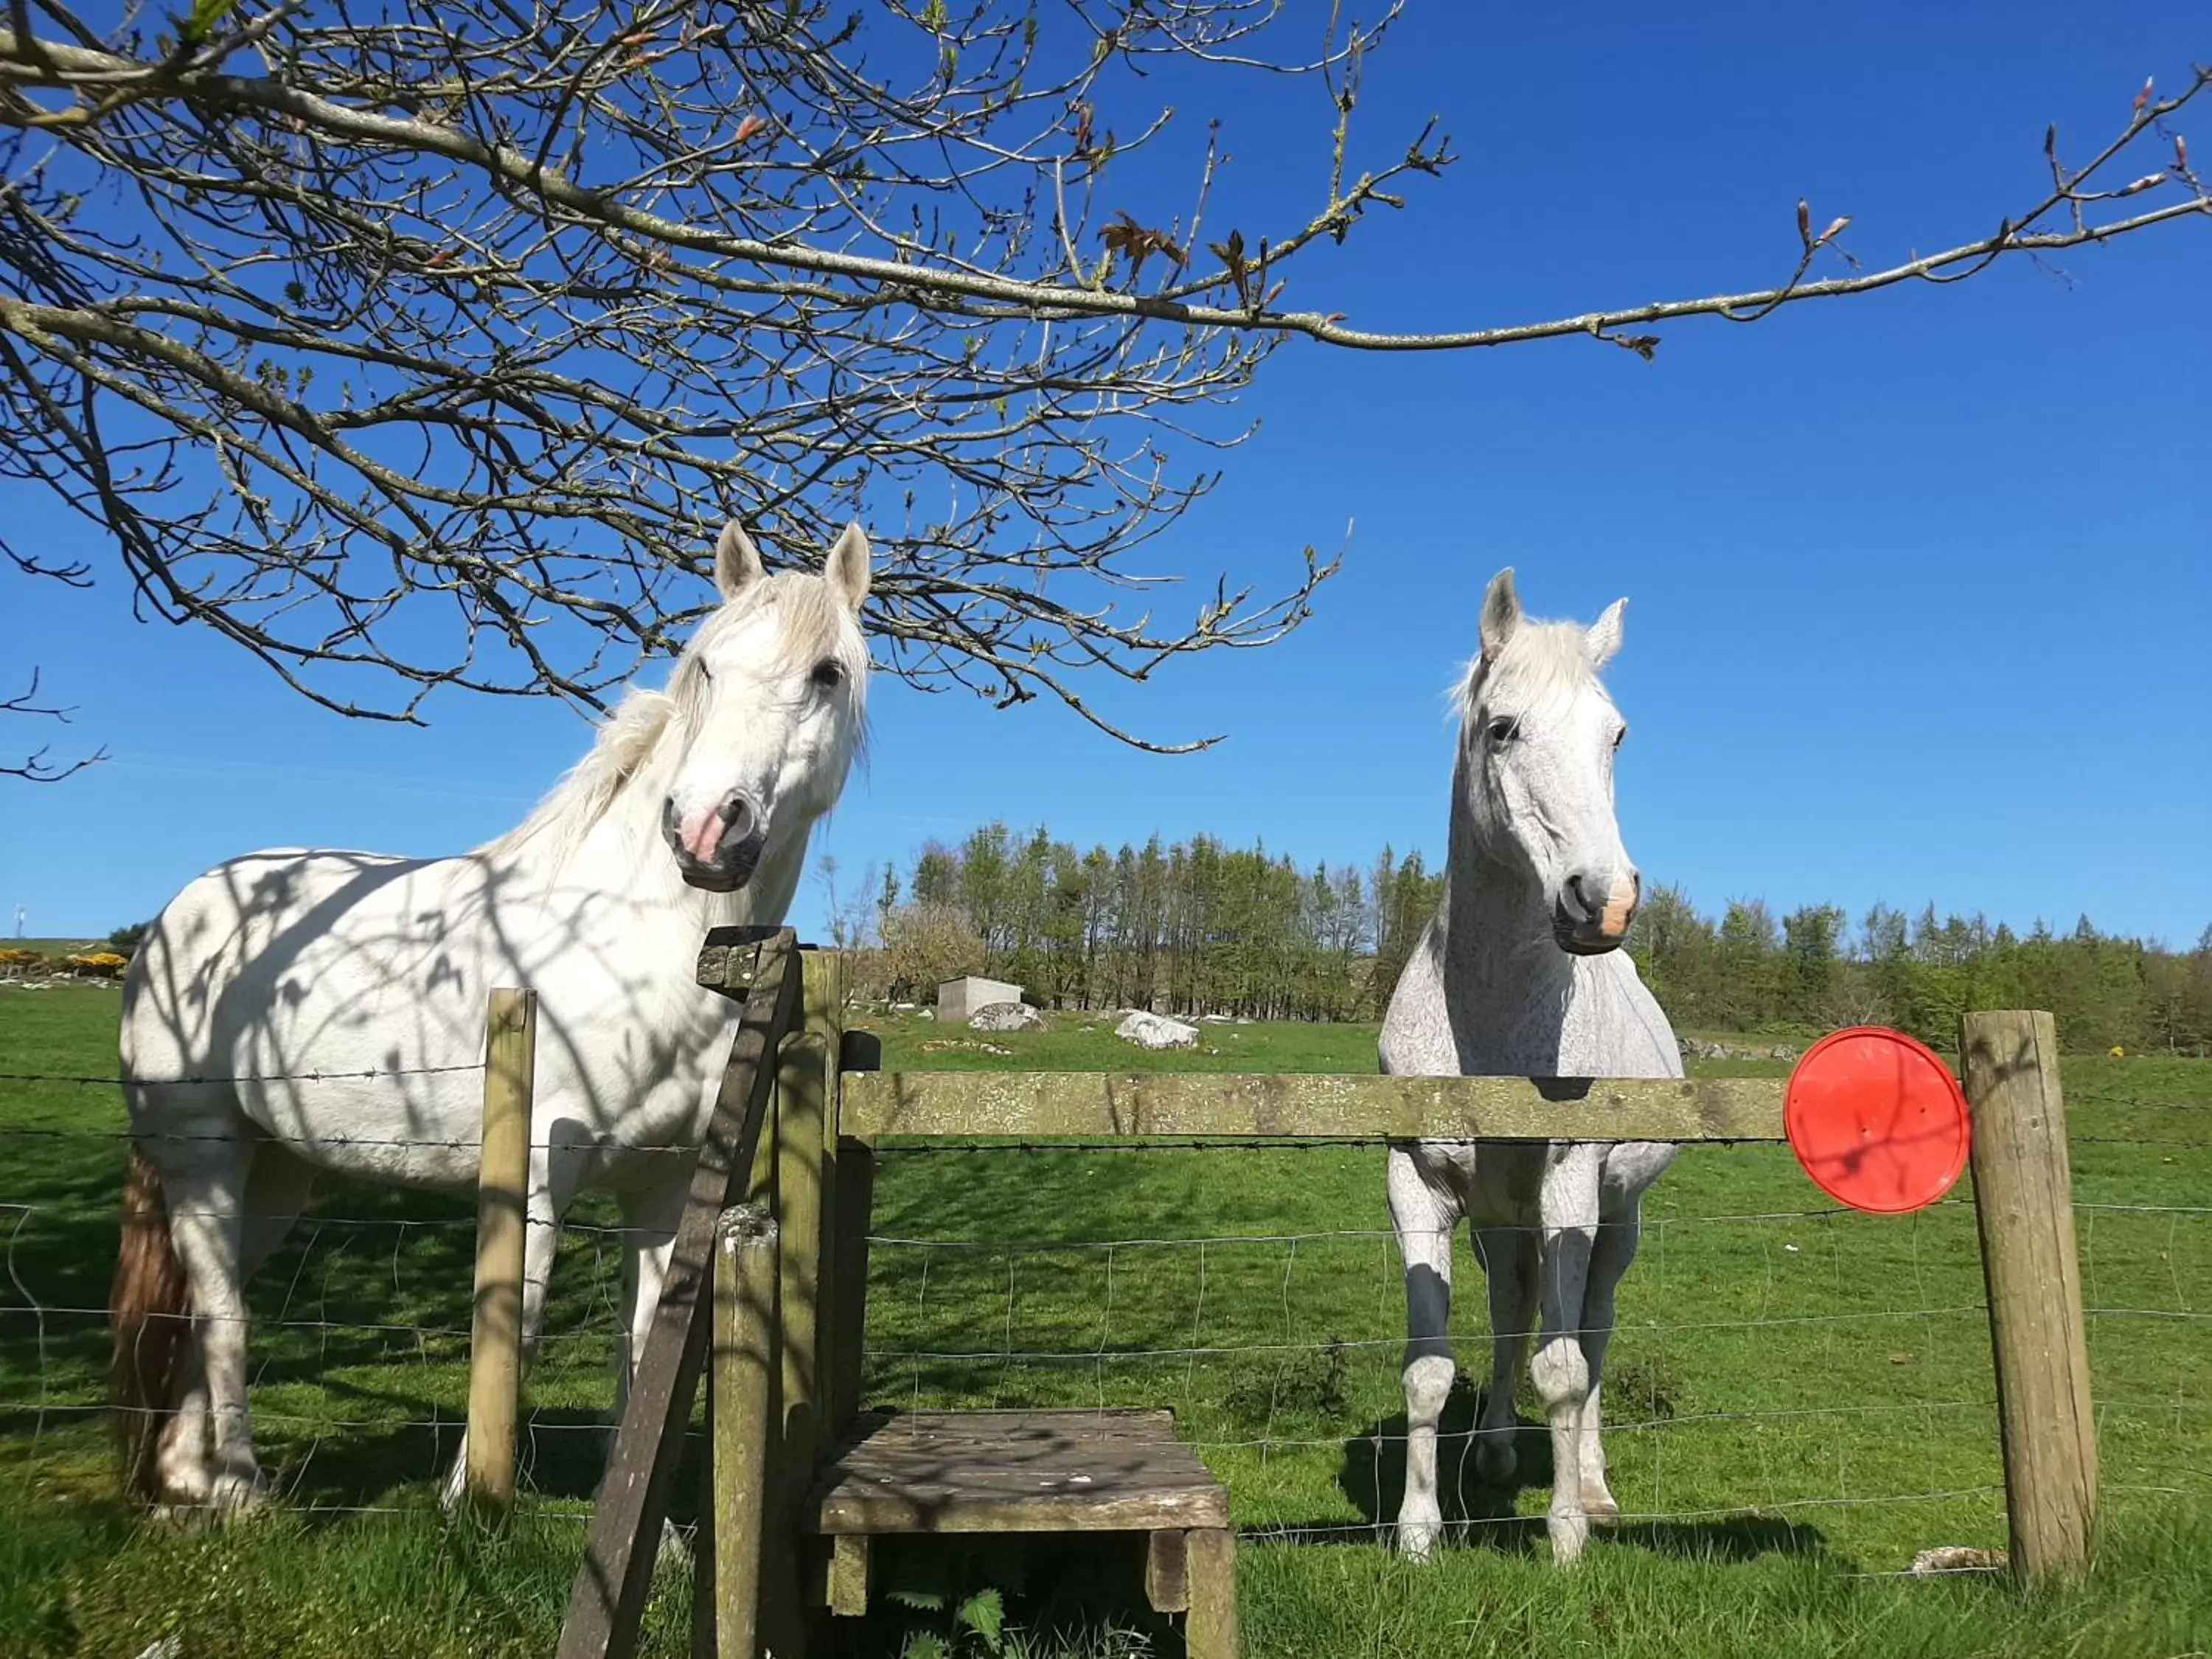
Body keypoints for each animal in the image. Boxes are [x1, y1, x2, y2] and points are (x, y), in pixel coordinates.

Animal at [114, 520, 872, 1522]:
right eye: (707, 667)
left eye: (827, 671)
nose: (709, 828)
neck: (633, 942)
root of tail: (178, 914)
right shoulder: (540, 1178)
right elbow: (519, 1322)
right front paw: (468, 1503)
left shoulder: (666, 1189)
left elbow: (644, 1350)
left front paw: (653, 1536)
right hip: (203, 1153)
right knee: (218, 1305)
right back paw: (240, 1488)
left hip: (274, 1170)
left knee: (216, 1295)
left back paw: (185, 1482)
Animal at [1380, 571, 1672, 1575]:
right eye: (1503, 727)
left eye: (1616, 734)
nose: (1602, 902)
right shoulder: (1419, 1187)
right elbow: (1430, 1369)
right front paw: (1418, 1532)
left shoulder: (1569, 1185)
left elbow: (1566, 1365)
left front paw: (1567, 1531)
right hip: (1501, 1221)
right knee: (1514, 1309)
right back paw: (1500, 1449)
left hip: (1612, 1221)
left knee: (1594, 1333)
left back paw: (1593, 1481)